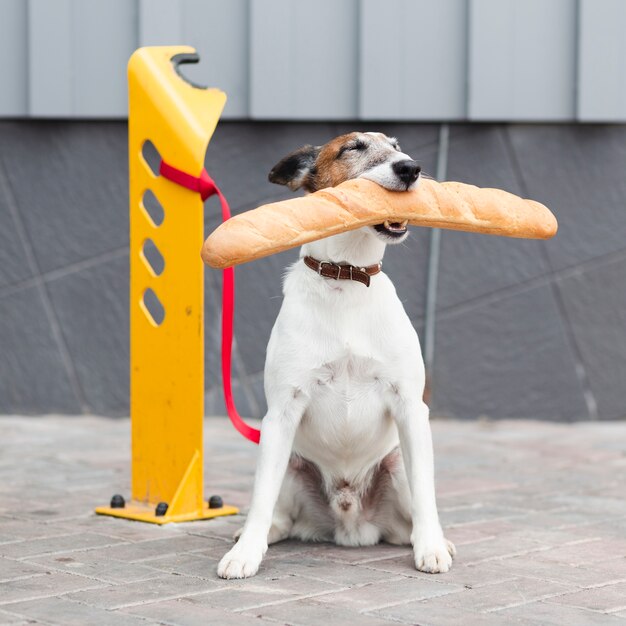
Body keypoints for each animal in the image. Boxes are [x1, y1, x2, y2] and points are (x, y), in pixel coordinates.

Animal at [217, 134, 450, 576]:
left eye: (397, 145)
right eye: (352, 148)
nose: (410, 168)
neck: (347, 277)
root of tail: (350, 525)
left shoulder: (411, 407)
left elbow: (428, 493)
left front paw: (431, 547)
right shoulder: (280, 413)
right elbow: (259, 498)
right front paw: (244, 554)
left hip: (396, 466)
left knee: (409, 516)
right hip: (288, 460)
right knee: (277, 513)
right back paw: (256, 536)